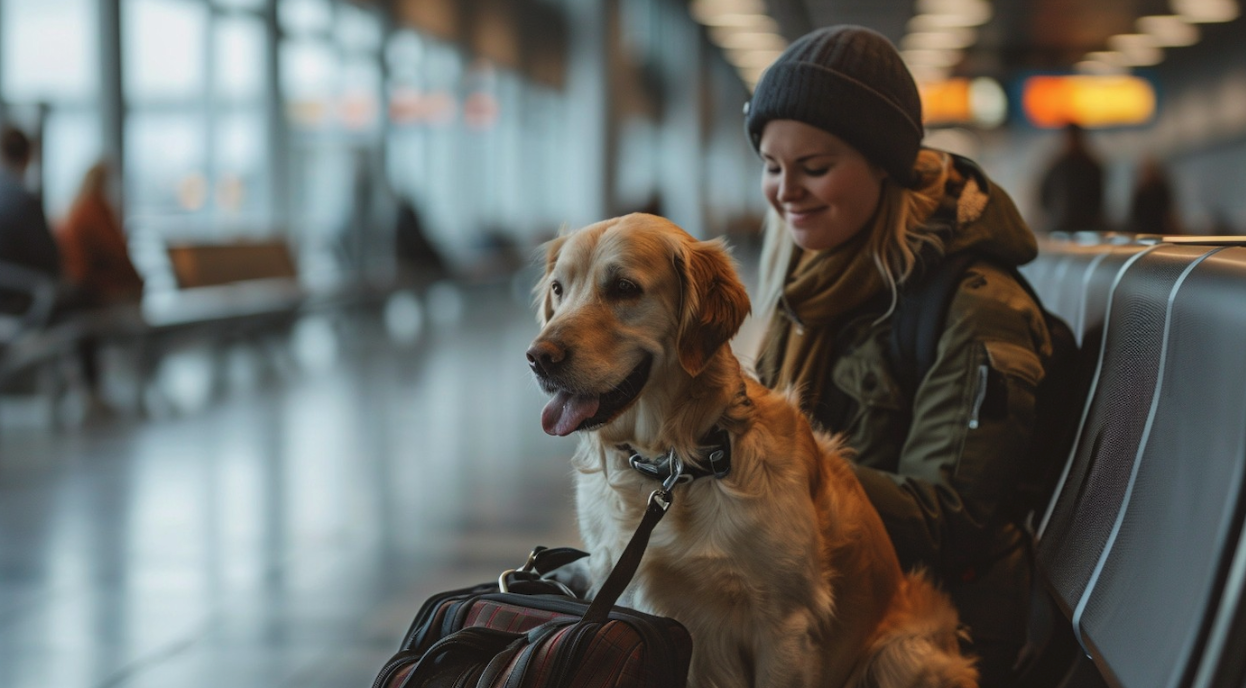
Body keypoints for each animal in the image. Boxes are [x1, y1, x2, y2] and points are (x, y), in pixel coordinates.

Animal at [525, 211, 971, 683]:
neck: (677, 464)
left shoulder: (785, 626)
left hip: (900, 653)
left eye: (624, 288)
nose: (538, 357)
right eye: (558, 288)